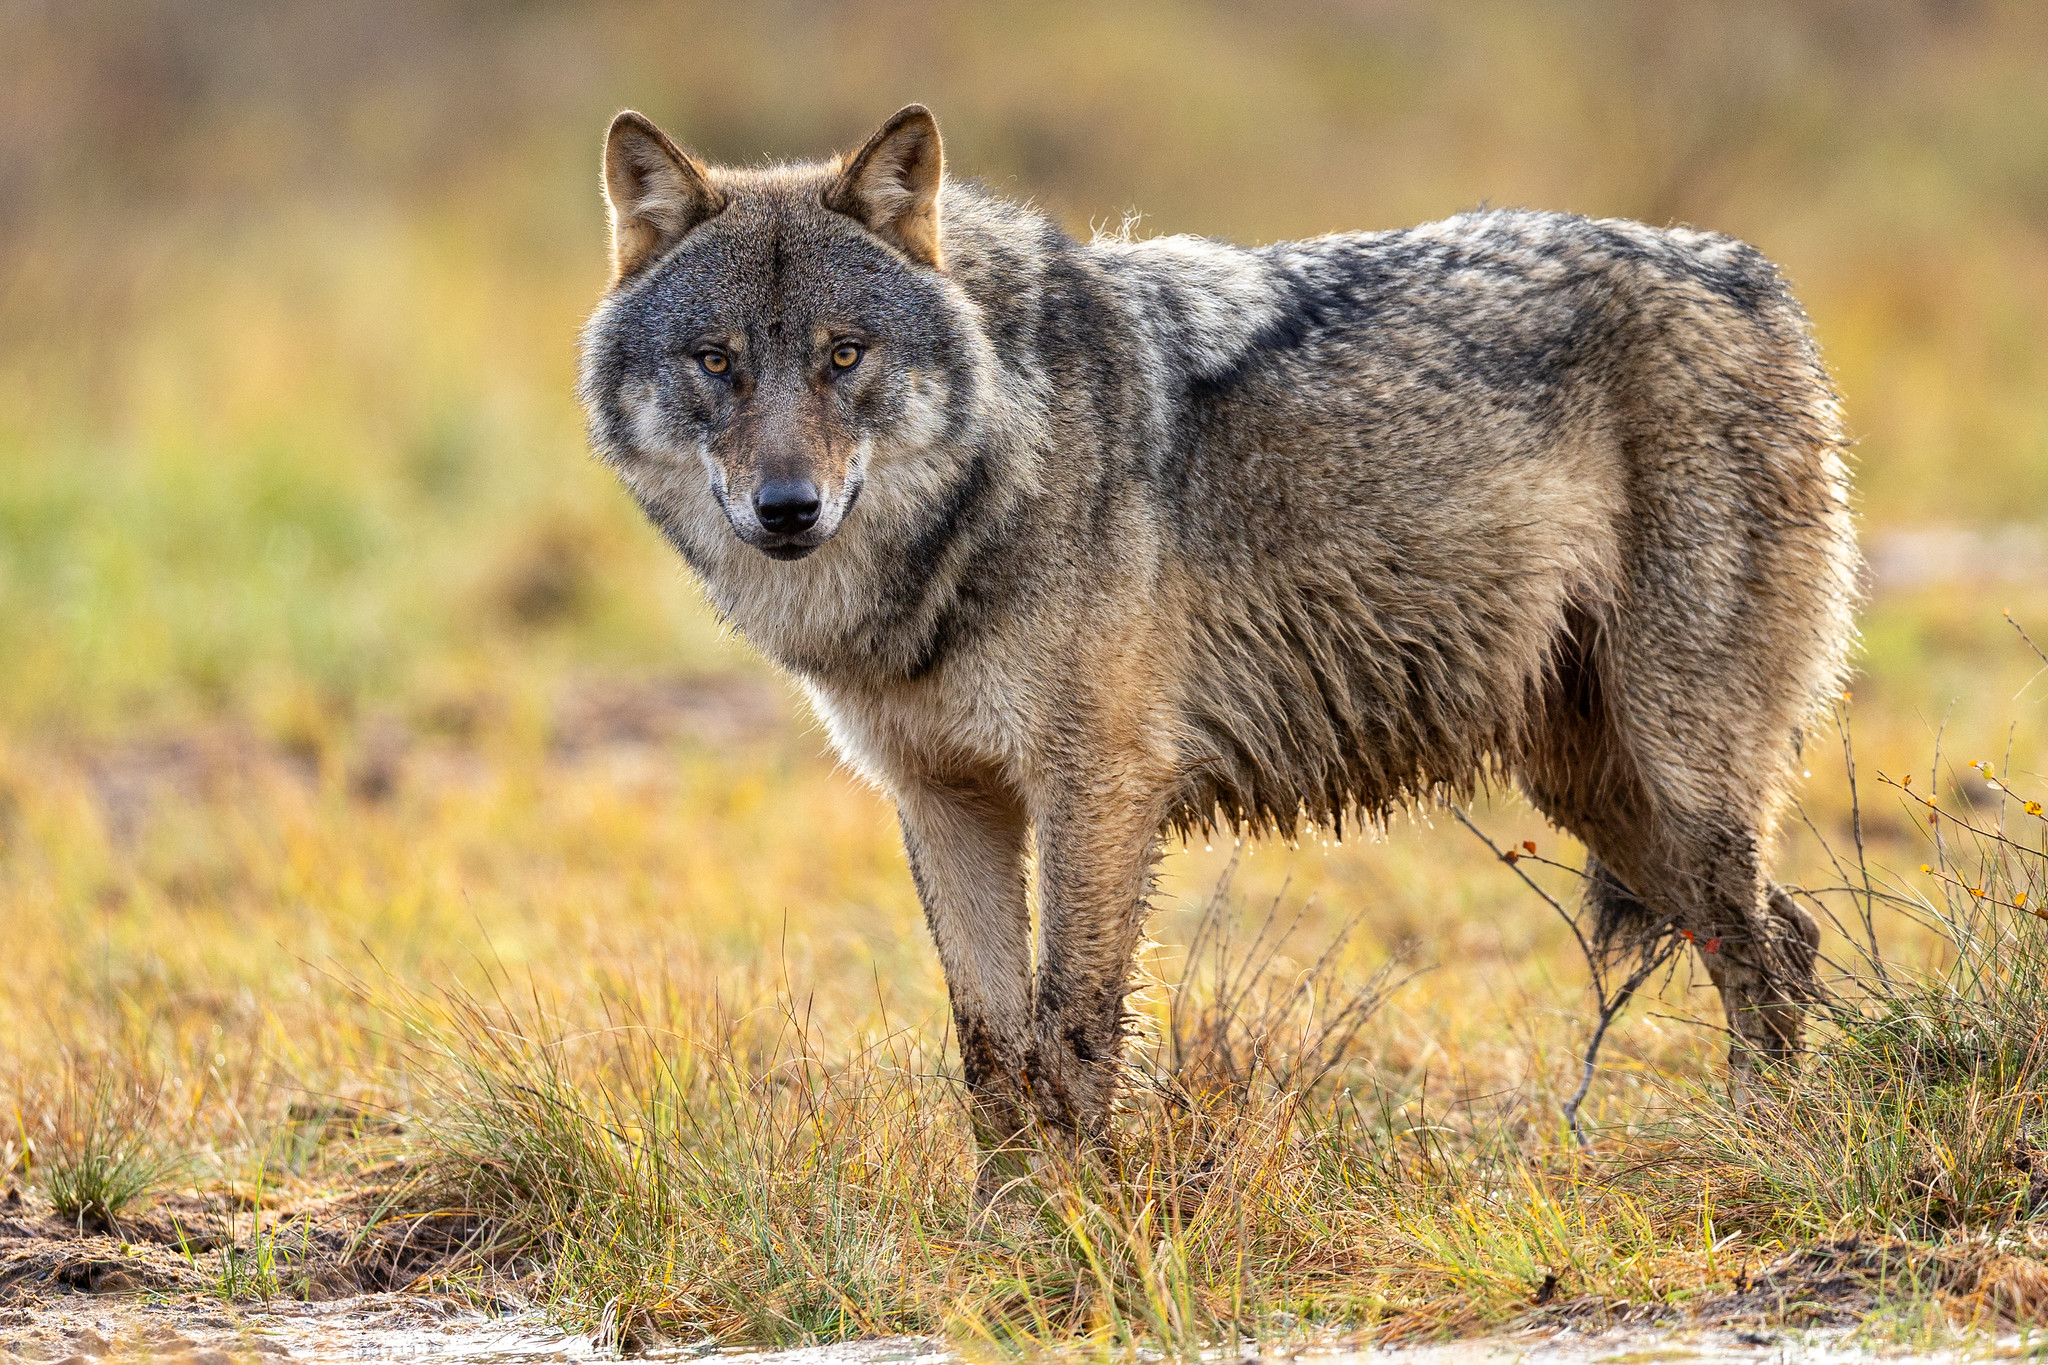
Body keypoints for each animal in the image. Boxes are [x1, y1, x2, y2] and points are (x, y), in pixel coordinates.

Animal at [577, 106, 1859, 1178]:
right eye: (717, 361)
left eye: (843, 355)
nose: (785, 508)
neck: (988, 486)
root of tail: (1748, 277)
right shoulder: (944, 799)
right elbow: (990, 1057)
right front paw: (997, 1230)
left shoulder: (1097, 788)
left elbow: (1072, 1036)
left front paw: (1077, 1231)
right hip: (1592, 783)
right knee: (1782, 935)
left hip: (1672, 771)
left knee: (1765, 947)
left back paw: (1762, 1153)